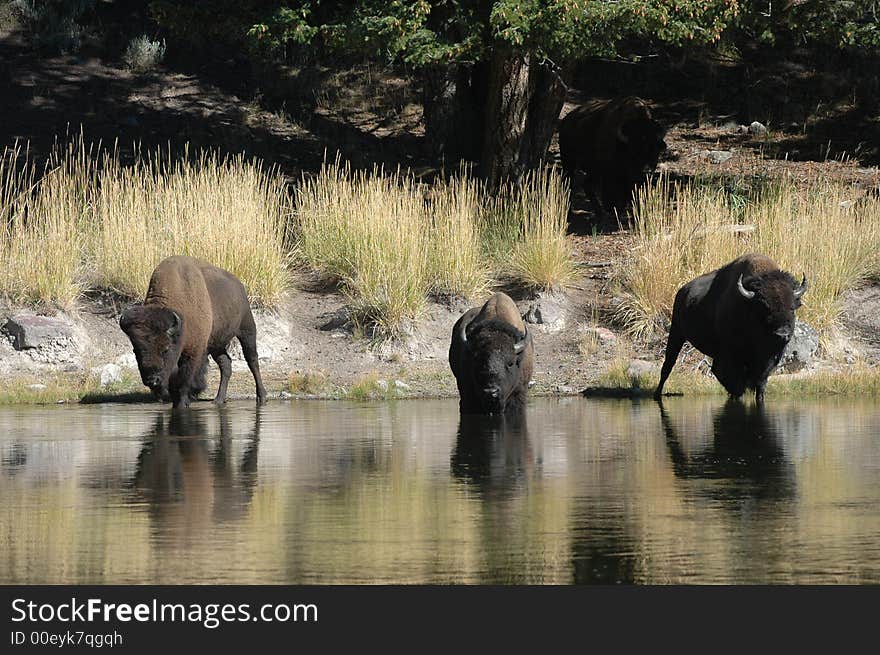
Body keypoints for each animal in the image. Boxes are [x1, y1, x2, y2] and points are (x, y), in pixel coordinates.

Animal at [119, 256, 268, 410]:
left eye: (165, 349)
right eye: (136, 351)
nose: (152, 380)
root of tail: (239, 286)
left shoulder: (193, 352)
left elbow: (185, 379)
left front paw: (182, 404)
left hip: (247, 329)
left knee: (252, 360)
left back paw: (261, 397)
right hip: (216, 344)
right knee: (226, 364)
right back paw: (219, 400)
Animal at [652, 254, 812, 402]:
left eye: (792, 308)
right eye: (764, 307)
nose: (782, 334)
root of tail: (682, 291)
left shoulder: (766, 361)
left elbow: (760, 383)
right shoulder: (732, 356)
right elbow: (736, 381)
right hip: (676, 332)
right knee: (668, 366)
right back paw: (657, 394)